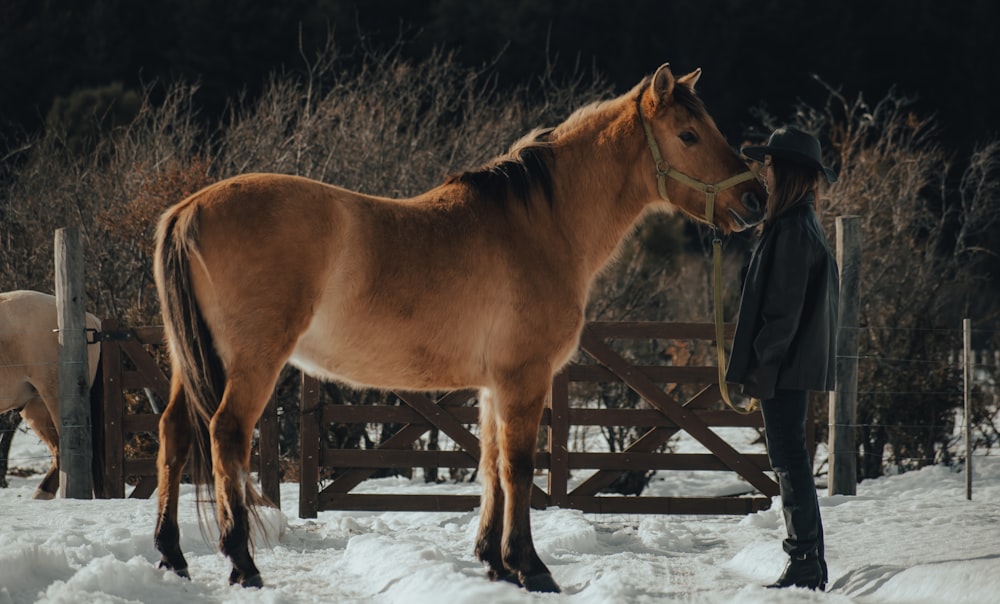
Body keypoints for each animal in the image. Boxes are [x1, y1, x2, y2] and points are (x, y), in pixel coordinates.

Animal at [154, 63, 764, 592]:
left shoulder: (494, 385)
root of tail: (188, 209)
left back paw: (173, 557)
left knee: (175, 434)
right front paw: (530, 567)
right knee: (226, 435)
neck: (539, 226)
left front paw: (493, 560)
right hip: (254, 363)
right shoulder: (525, 378)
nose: (755, 198)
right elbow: (518, 467)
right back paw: (242, 563)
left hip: (189, 362)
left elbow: (490, 462)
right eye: (688, 134)